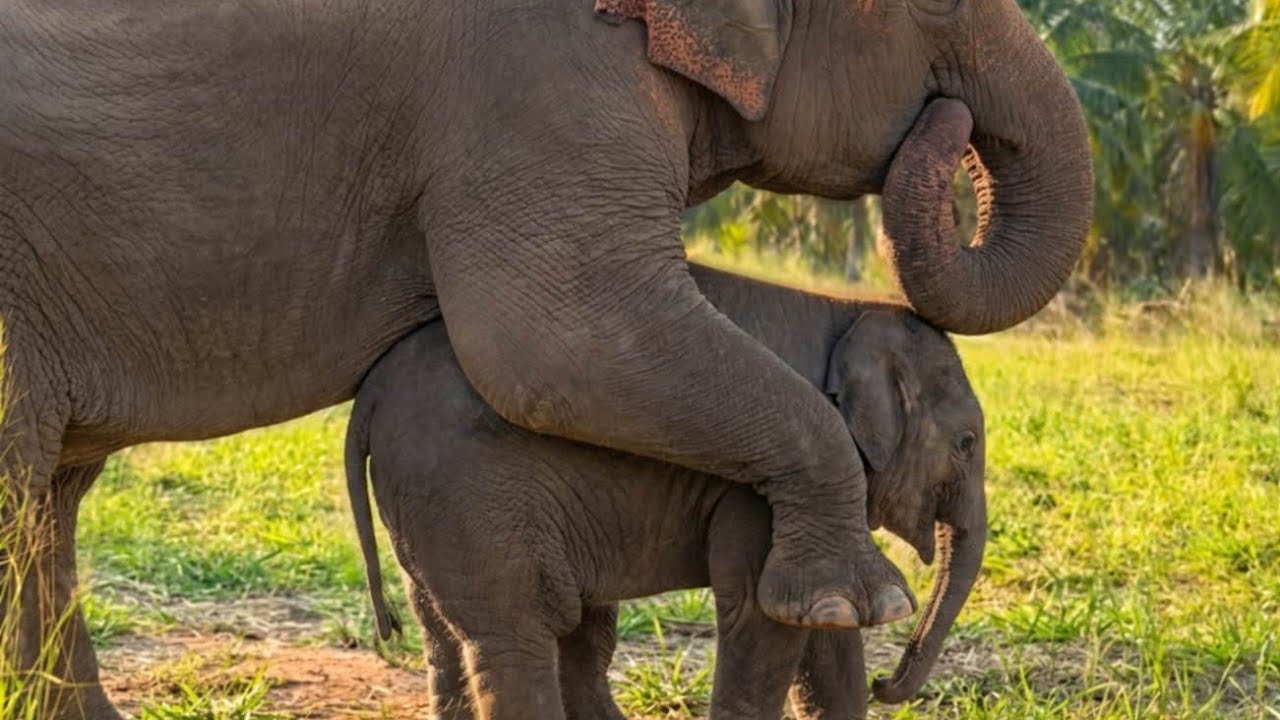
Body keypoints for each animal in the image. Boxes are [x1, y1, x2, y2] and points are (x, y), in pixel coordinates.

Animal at [344, 264, 987, 718]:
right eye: (966, 444)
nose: (887, 683)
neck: (851, 314)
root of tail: (369, 395)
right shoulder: (762, 491)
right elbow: (762, 613)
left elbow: (827, 631)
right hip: (468, 498)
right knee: (516, 634)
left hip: (423, 500)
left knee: (448, 631)